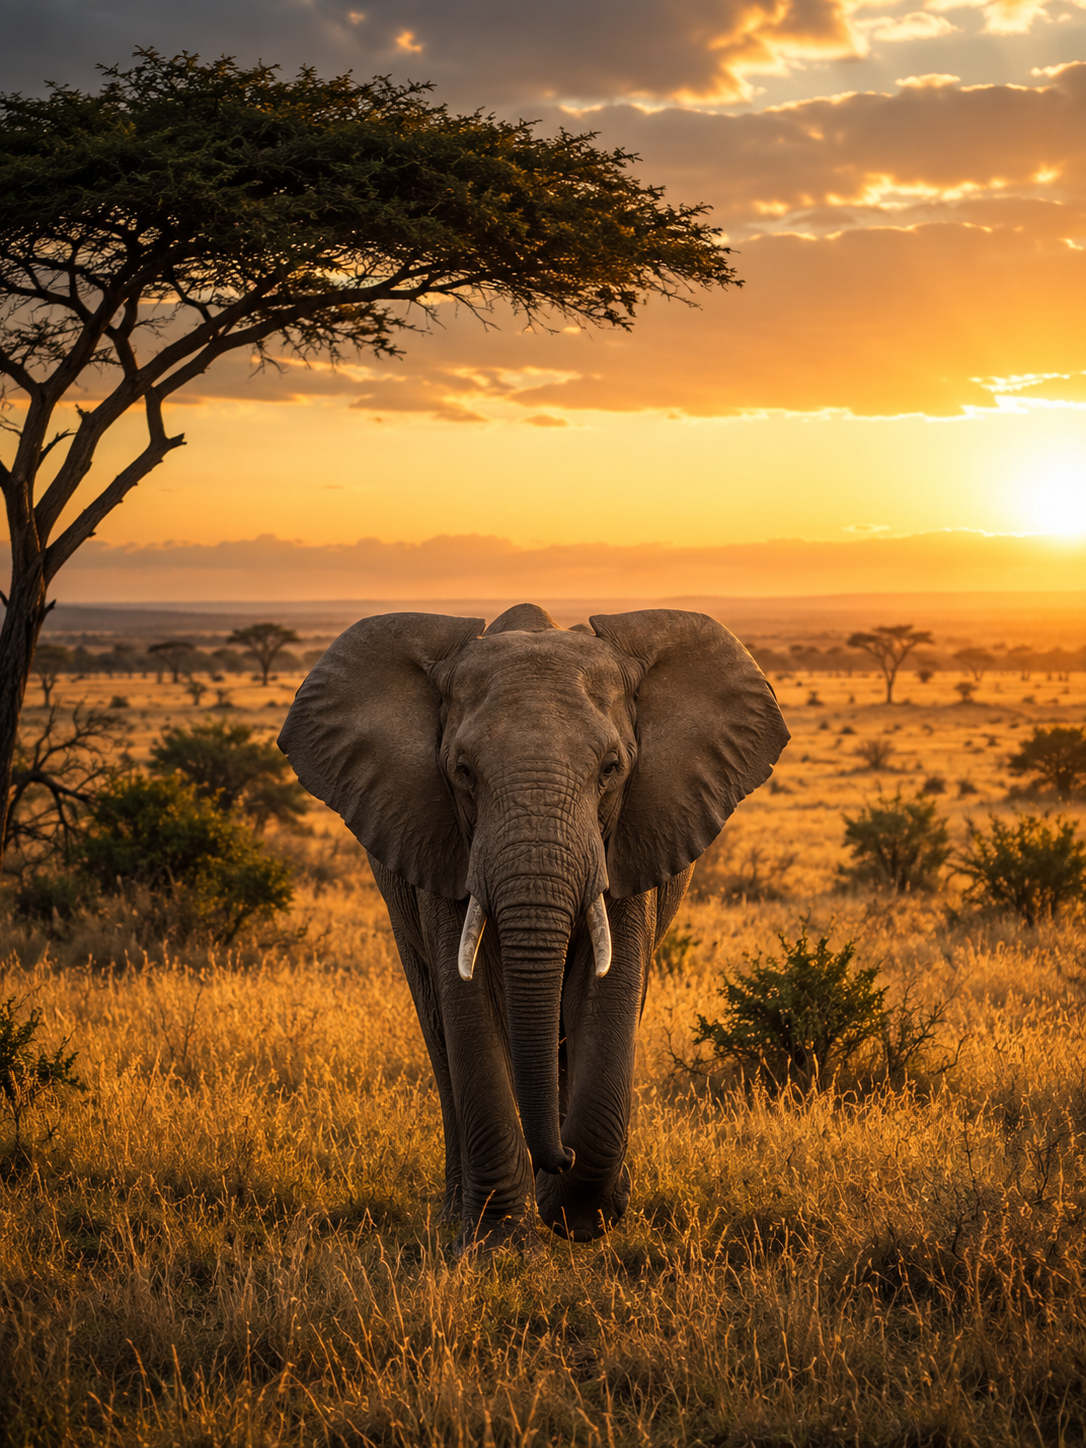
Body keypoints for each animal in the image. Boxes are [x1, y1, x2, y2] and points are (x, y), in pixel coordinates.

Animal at [278, 603, 789, 1254]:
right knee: (438, 1030)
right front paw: (497, 1244)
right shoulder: (444, 843)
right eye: (463, 771)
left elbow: (610, 992)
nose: (558, 1158)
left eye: (612, 769)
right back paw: (455, 1214)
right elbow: (469, 1007)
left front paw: (582, 1219)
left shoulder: (628, 838)